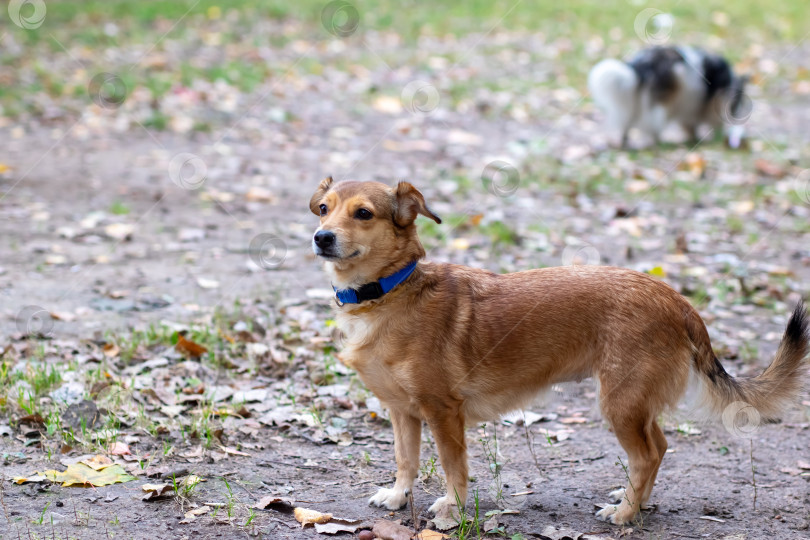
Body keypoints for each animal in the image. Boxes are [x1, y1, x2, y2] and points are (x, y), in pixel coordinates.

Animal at [306, 177, 804, 524]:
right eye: (325, 210)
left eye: (364, 214)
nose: (321, 237)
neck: (388, 293)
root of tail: (675, 299)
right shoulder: (403, 412)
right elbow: (405, 459)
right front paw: (398, 496)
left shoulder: (443, 412)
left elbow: (452, 466)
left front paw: (452, 507)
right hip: (634, 403)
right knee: (658, 446)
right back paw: (635, 501)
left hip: (619, 402)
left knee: (647, 454)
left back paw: (625, 514)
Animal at [584, 46, 748, 148]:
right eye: (738, 101)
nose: (735, 113)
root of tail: (643, 64)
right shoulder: (713, 104)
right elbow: (712, 122)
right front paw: (714, 136)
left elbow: (690, 125)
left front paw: (694, 137)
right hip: (663, 103)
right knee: (653, 123)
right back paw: (659, 141)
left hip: (636, 102)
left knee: (627, 124)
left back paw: (625, 142)